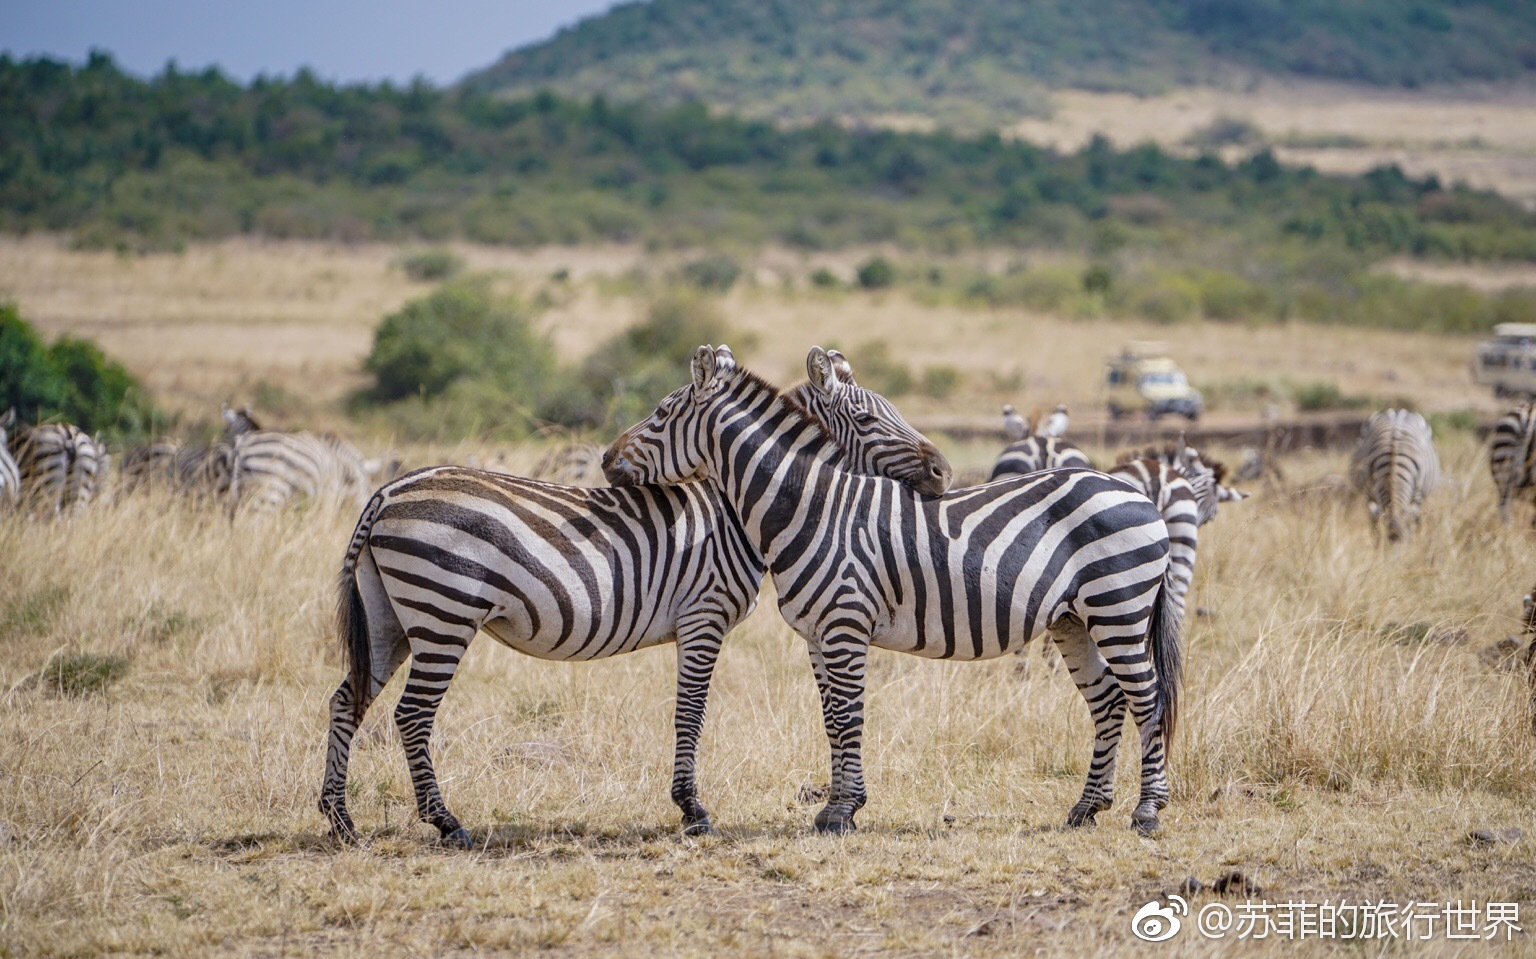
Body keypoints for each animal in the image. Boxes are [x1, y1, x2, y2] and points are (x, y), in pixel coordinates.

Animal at [319, 345, 952, 848]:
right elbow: (690, 712)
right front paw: (693, 812)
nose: (944, 472)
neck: (734, 512)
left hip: (390, 618)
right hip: (443, 612)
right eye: (867, 418)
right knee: (411, 714)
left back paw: (340, 819)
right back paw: (446, 824)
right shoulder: (703, 616)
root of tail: (387, 491)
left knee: (348, 700)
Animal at [605, 348, 1179, 836]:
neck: (814, 507)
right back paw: (1087, 808)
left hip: (1119, 607)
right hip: (1073, 619)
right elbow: (831, 718)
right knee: (1107, 700)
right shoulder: (817, 635)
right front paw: (835, 809)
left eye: (660, 413)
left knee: (1148, 699)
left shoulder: (845, 624)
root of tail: (1138, 495)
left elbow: (849, 715)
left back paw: (1148, 813)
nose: (608, 460)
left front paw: (843, 812)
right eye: (867, 418)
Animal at [1345, 405, 1437, 540]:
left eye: (1405, 541)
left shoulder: (1417, 494)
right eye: (1388, 541)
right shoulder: (1369, 492)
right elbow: (1376, 528)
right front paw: (1376, 544)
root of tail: (1397, 410)